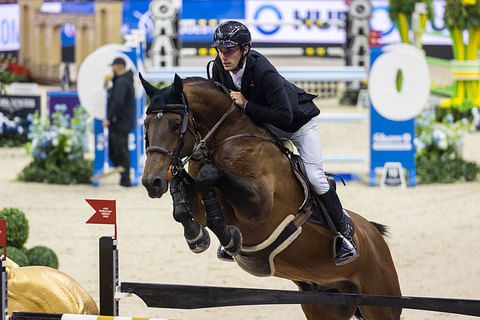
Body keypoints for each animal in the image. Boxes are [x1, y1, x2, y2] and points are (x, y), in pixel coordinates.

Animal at [141, 73, 404, 320]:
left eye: (176, 124)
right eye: (145, 123)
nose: (151, 182)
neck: (223, 140)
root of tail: (373, 233)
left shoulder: (259, 207)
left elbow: (209, 176)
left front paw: (229, 239)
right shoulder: (201, 202)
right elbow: (184, 202)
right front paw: (197, 237)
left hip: (381, 303)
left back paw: (345, 242)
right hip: (324, 304)